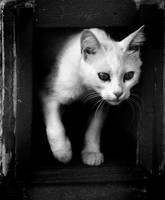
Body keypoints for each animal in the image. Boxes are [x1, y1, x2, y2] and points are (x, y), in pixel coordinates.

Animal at [42, 26, 145, 166]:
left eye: (129, 75)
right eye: (103, 76)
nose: (118, 93)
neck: (86, 87)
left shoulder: (102, 104)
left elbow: (94, 129)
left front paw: (91, 152)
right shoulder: (48, 93)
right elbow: (55, 125)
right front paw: (62, 152)